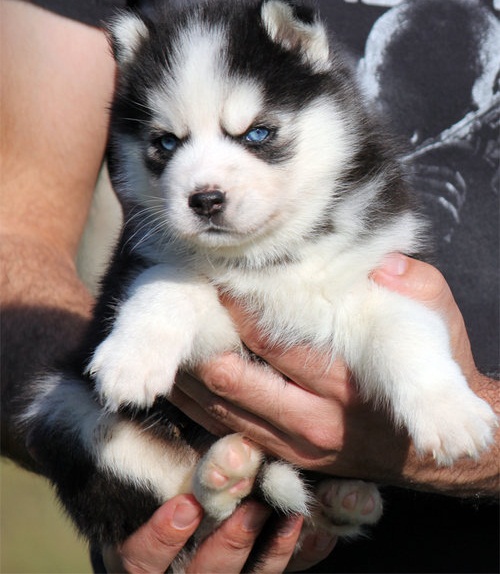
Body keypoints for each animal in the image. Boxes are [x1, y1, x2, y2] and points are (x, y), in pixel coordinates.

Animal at [20, 0, 496, 568]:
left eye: (257, 134)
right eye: (165, 143)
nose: (204, 199)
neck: (270, 256)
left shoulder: (381, 274)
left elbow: (406, 333)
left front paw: (452, 415)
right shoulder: (193, 307)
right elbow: (172, 284)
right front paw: (131, 361)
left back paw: (345, 497)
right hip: (63, 412)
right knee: (198, 513)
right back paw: (226, 472)